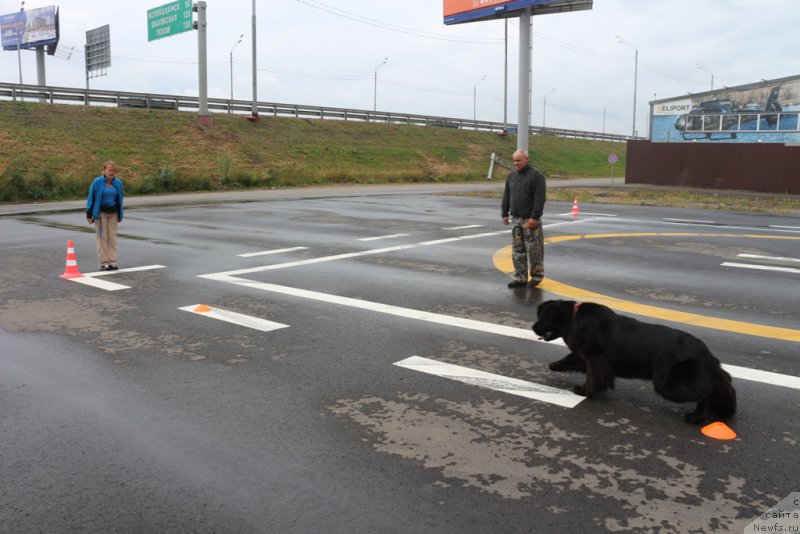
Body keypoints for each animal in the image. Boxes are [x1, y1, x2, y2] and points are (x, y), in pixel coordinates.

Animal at [536, 300, 736, 426]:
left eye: (542, 318)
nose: (533, 326)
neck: (573, 317)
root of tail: (705, 353)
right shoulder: (585, 356)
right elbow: (570, 359)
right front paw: (554, 365)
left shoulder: (594, 359)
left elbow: (593, 378)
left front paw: (584, 392)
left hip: (668, 383)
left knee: (705, 395)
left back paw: (697, 417)